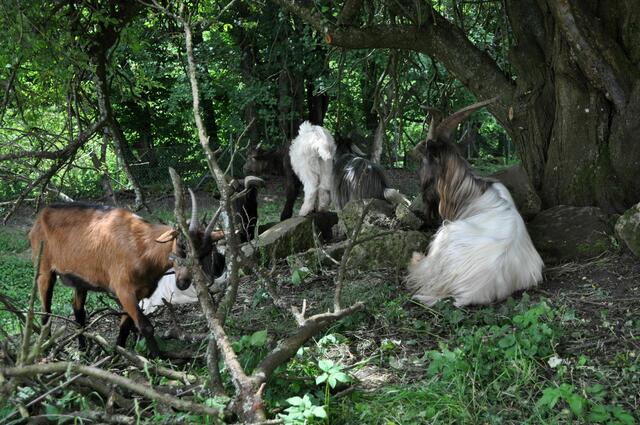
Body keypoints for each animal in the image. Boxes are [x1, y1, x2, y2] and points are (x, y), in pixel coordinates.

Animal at [28, 191, 224, 357]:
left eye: (205, 253)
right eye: (181, 245)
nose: (183, 282)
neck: (141, 246)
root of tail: (40, 217)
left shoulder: (138, 294)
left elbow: (125, 325)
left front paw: (118, 355)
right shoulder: (124, 290)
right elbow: (145, 326)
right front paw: (159, 360)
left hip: (81, 281)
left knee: (78, 310)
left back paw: (83, 351)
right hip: (44, 270)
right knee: (46, 311)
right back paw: (47, 349)